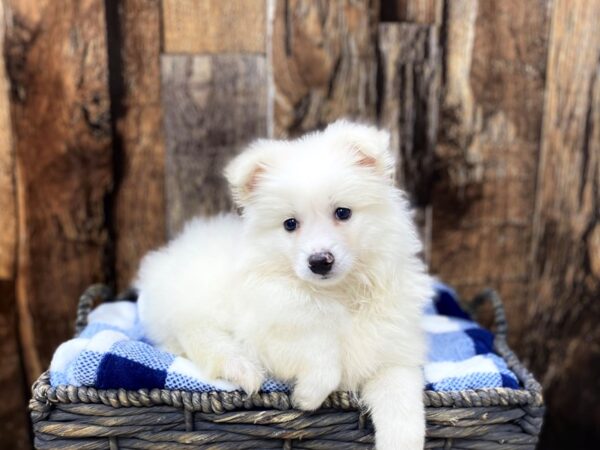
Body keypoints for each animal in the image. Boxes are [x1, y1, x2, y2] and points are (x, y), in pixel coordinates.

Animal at [137, 120, 432, 450]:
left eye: (342, 212)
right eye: (290, 224)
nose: (319, 261)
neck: (336, 293)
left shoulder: (391, 354)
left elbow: (403, 408)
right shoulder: (272, 330)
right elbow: (321, 355)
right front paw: (308, 396)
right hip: (193, 300)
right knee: (196, 334)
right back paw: (242, 368)